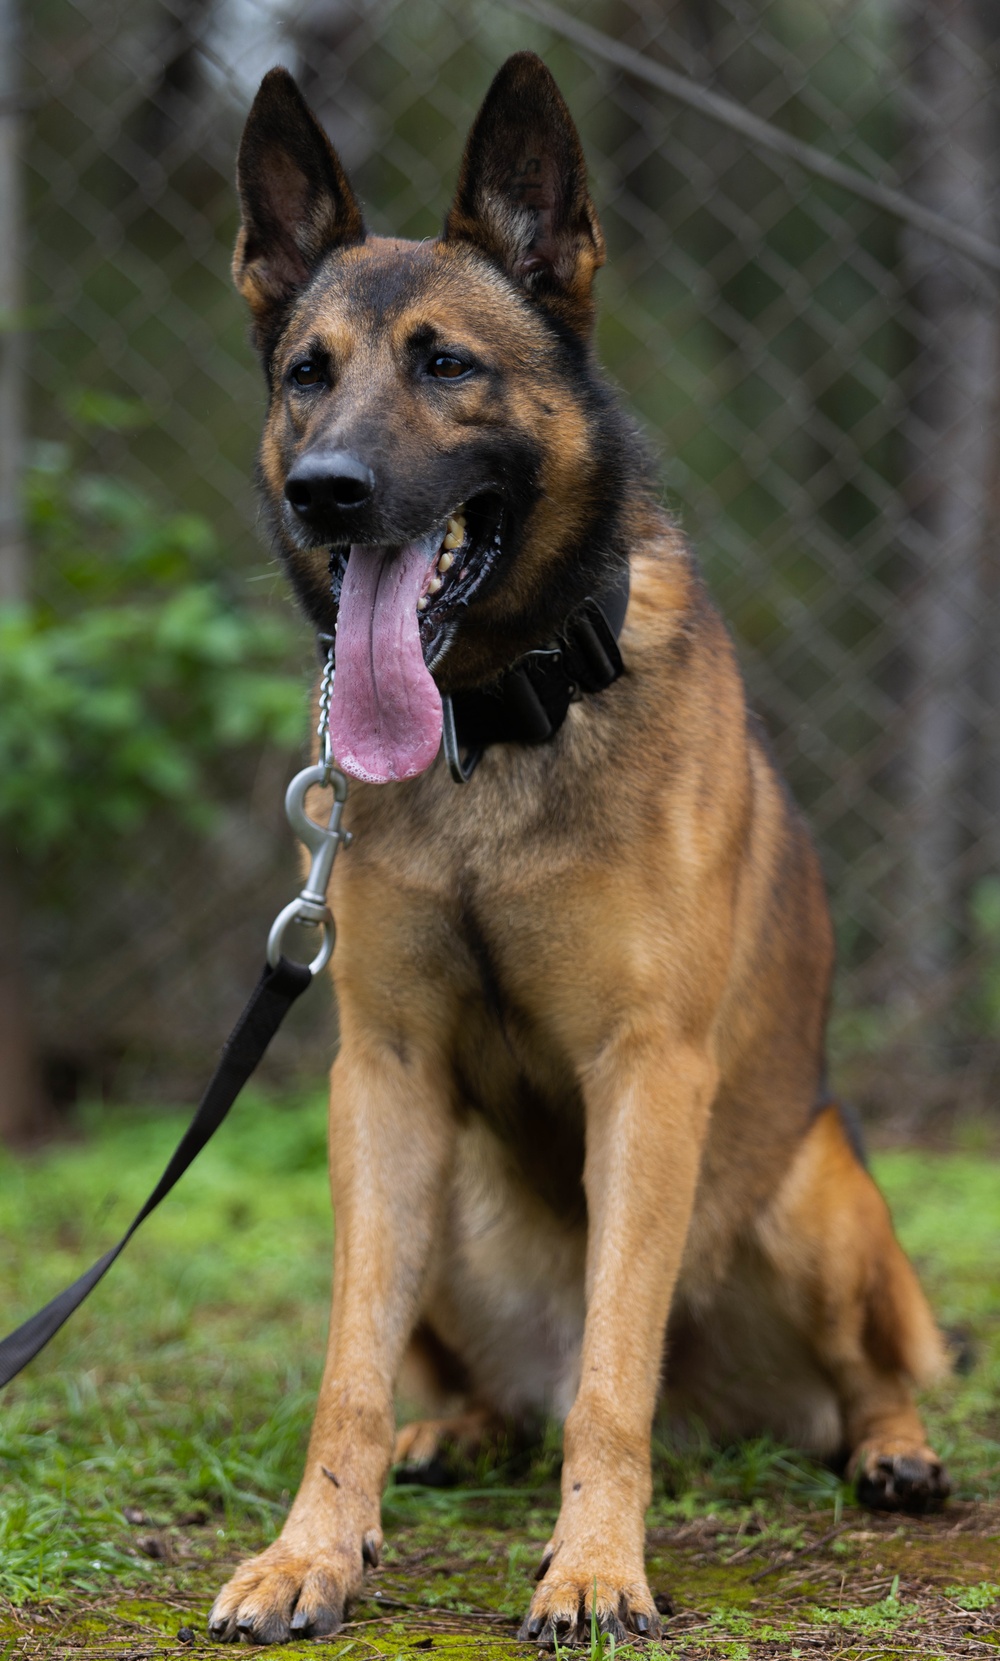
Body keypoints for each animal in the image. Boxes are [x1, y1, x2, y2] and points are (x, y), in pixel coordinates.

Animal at [211, 55, 950, 1647]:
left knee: (840, 1378)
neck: (500, 715)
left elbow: (618, 1369)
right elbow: (346, 1371)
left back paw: (893, 1453)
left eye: (446, 365)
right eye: (309, 373)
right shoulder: (382, 1073)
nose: (328, 489)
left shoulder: (646, 1069)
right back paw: (447, 1434)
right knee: (471, 1380)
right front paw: (310, 1549)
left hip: (816, 1190)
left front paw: (597, 1564)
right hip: (433, 1200)